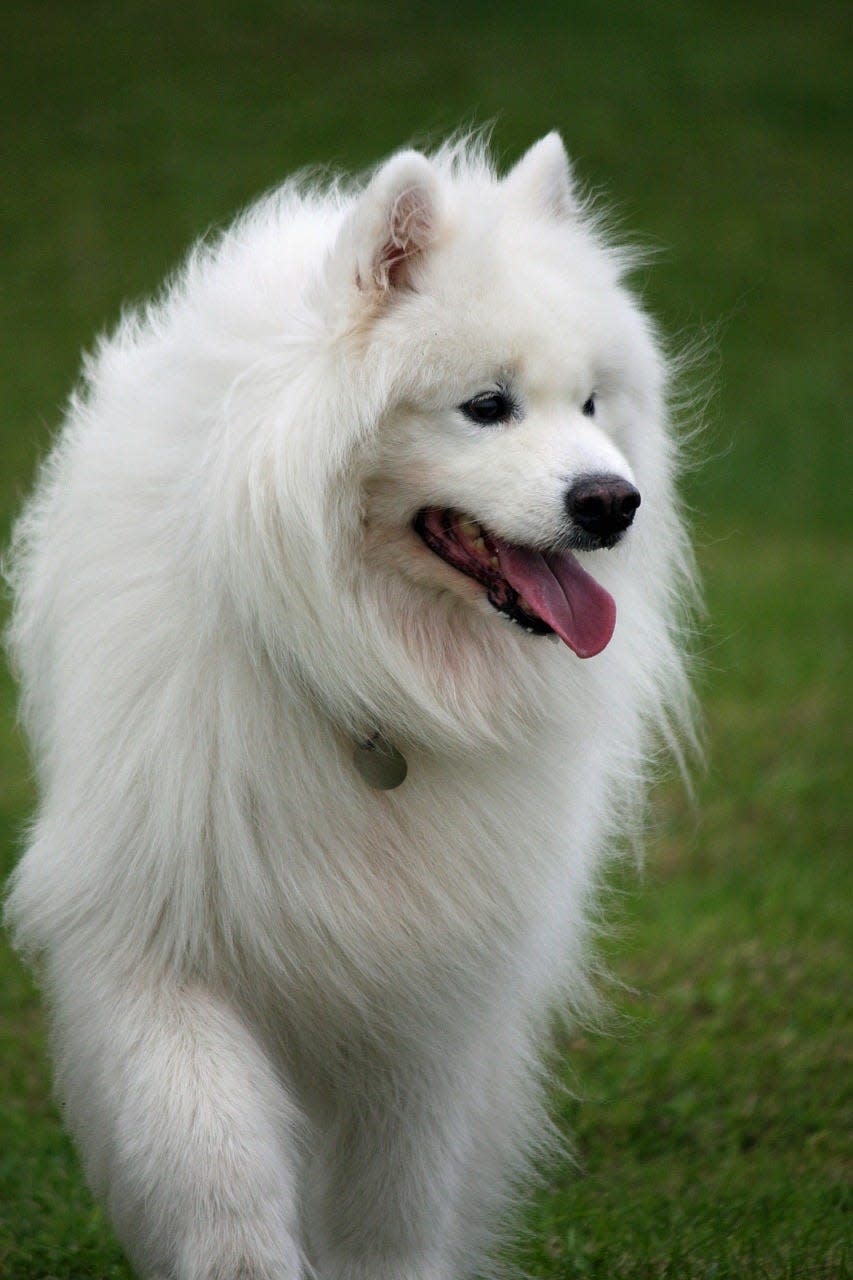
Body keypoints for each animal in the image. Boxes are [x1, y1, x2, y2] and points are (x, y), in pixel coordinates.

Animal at [4, 132, 691, 1280]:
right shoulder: (152, 941)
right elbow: (217, 1170)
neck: (366, 671)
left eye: (593, 403)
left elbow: (393, 1206)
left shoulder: (422, 999)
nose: (612, 502)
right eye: (486, 405)